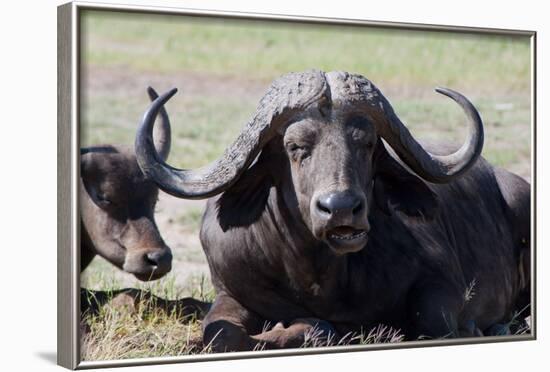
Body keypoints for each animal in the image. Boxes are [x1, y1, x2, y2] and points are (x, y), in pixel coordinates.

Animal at [136, 70, 532, 352]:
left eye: (367, 143)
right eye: (295, 147)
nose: (340, 208)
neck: (315, 272)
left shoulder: (440, 281)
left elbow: (435, 322)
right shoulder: (230, 291)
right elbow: (223, 334)